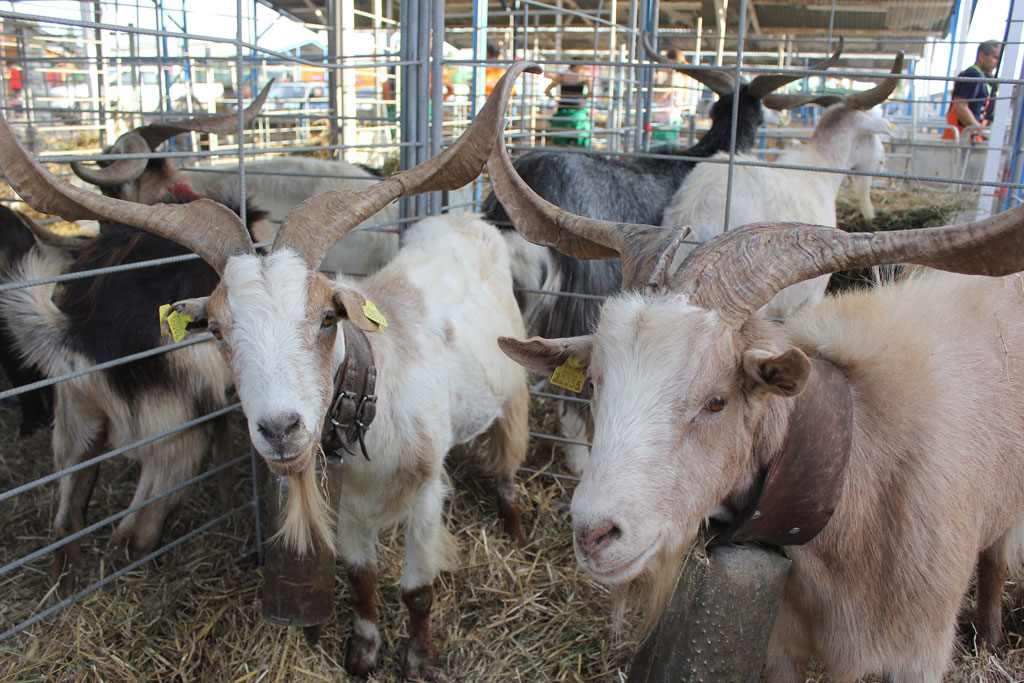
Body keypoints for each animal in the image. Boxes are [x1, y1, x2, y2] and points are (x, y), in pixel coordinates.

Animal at [0, 62, 540, 679]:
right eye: (214, 328)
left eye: (329, 315)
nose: (281, 429)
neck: (375, 397)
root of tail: (471, 224)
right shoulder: (348, 508)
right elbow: (361, 579)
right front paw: (362, 653)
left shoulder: (426, 493)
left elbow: (417, 590)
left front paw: (419, 661)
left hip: (512, 393)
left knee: (507, 465)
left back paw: (516, 531)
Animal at [483, 129, 1024, 683]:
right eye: (593, 384)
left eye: (717, 401)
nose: (594, 534)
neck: (860, 472)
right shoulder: (782, 644)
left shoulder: (918, 655)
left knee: (996, 561)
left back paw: (990, 637)